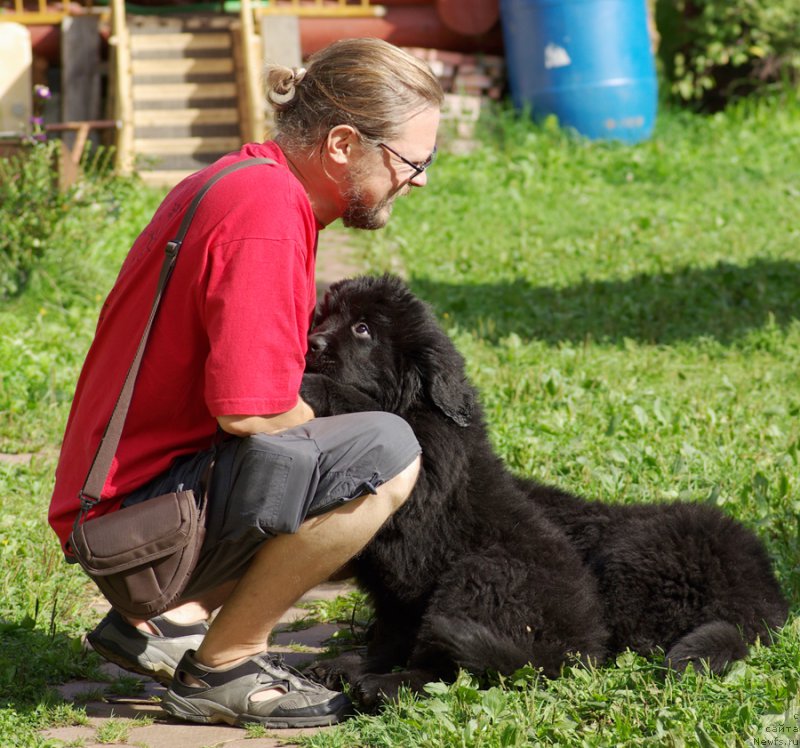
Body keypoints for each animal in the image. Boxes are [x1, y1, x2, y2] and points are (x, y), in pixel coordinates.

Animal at [300, 274, 788, 708]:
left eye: (363, 328)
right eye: (321, 318)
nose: (312, 344)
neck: (420, 405)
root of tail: (765, 591)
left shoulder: (425, 473)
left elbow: (370, 413)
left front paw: (314, 386)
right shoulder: (395, 590)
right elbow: (389, 630)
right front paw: (356, 661)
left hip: (500, 572)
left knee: (464, 668)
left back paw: (381, 686)